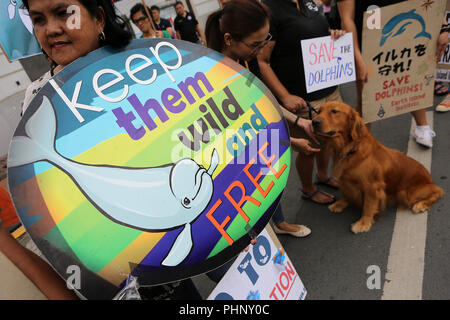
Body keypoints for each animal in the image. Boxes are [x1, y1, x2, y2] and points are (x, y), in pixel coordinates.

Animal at [312, 101, 444, 234]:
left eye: (334, 111)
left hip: (408, 193)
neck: (350, 149)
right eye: (319, 111)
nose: (314, 122)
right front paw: (340, 203)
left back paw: (421, 204)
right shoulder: (347, 181)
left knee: (439, 191)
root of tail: (429, 177)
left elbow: (368, 206)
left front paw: (363, 223)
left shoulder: (372, 186)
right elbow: (348, 193)